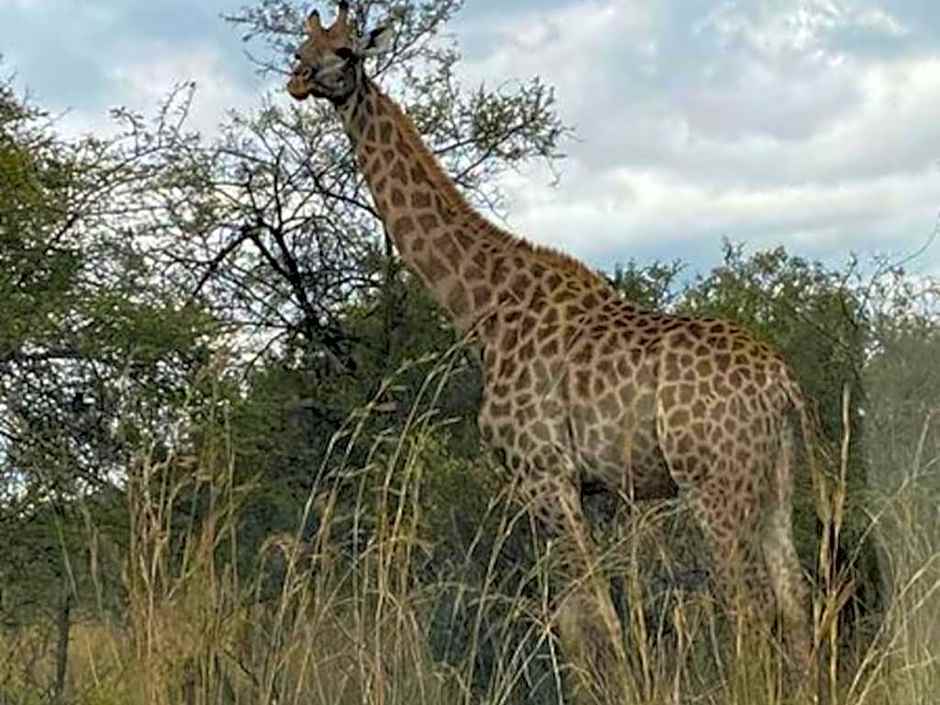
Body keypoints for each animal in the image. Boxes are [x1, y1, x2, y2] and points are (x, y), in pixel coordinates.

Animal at [287, 3, 816, 701]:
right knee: (795, 596)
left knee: (749, 605)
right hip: (775, 477)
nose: (297, 79)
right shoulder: (577, 486)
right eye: (303, 46)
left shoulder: (543, 473)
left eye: (346, 52)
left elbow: (593, 618)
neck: (483, 310)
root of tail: (781, 383)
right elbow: (578, 616)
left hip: (713, 482)